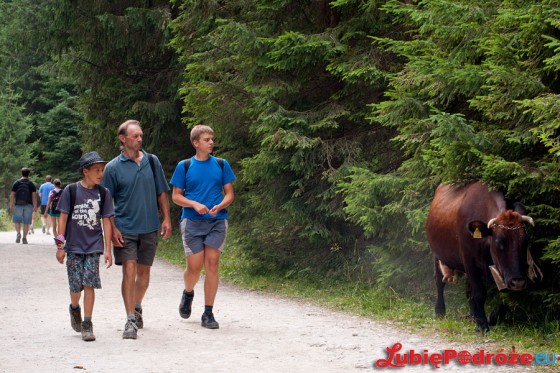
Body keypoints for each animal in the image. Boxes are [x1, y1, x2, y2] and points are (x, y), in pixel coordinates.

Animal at [424, 182, 532, 330]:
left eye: (525, 241)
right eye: (498, 242)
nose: (518, 281)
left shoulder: (499, 268)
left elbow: (503, 295)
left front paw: (493, 317)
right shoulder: (469, 261)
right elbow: (480, 293)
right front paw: (482, 324)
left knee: (468, 291)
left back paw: (472, 315)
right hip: (437, 254)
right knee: (439, 281)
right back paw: (440, 311)